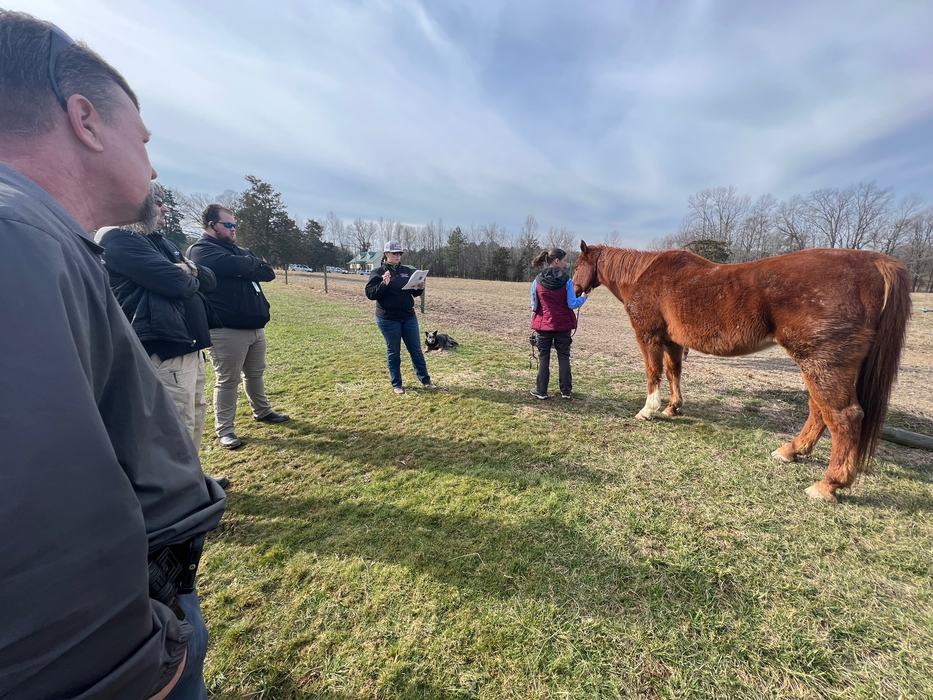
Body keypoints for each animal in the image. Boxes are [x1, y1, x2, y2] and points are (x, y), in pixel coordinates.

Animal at [572, 242, 912, 502]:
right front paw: (672, 408)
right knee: (819, 409)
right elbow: (673, 372)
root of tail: (875, 262)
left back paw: (828, 484)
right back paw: (791, 451)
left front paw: (649, 410)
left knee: (843, 417)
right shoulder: (672, 341)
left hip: (823, 364)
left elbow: (653, 371)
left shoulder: (649, 336)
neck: (645, 274)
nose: (574, 288)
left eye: (577, 264)